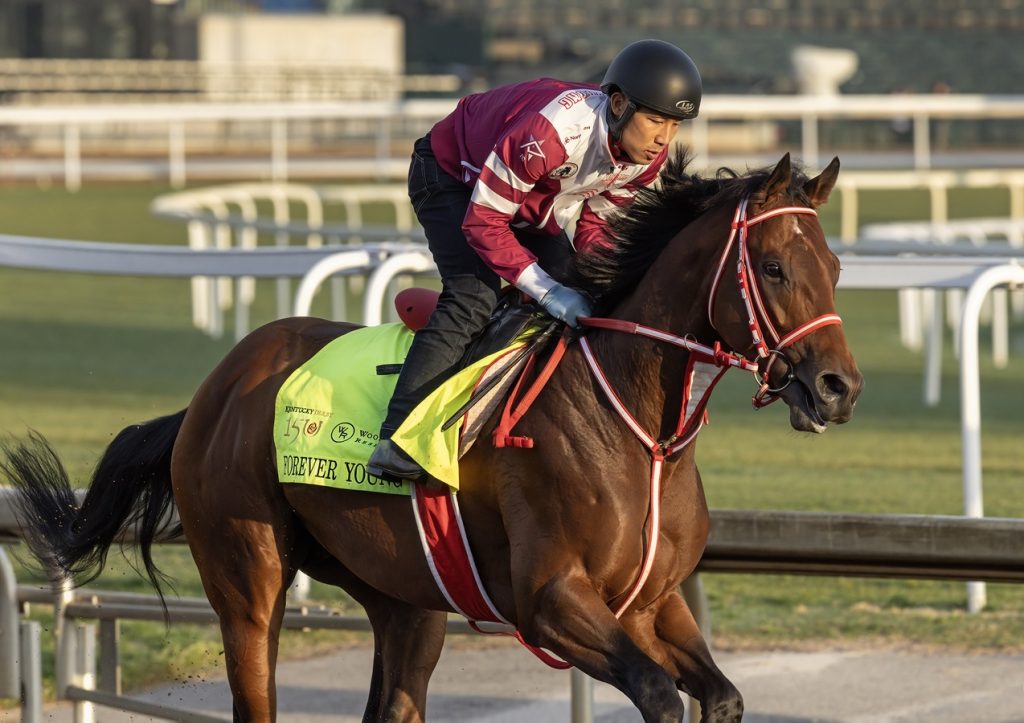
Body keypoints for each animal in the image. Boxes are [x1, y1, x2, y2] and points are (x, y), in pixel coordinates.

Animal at [2, 149, 864, 716]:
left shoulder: (655, 604)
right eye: (775, 268)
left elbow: (719, 695)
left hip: (405, 598)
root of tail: (213, 391)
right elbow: (658, 693)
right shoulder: (552, 598)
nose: (840, 386)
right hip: (248, 580)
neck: (635, 425)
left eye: (834, 266)